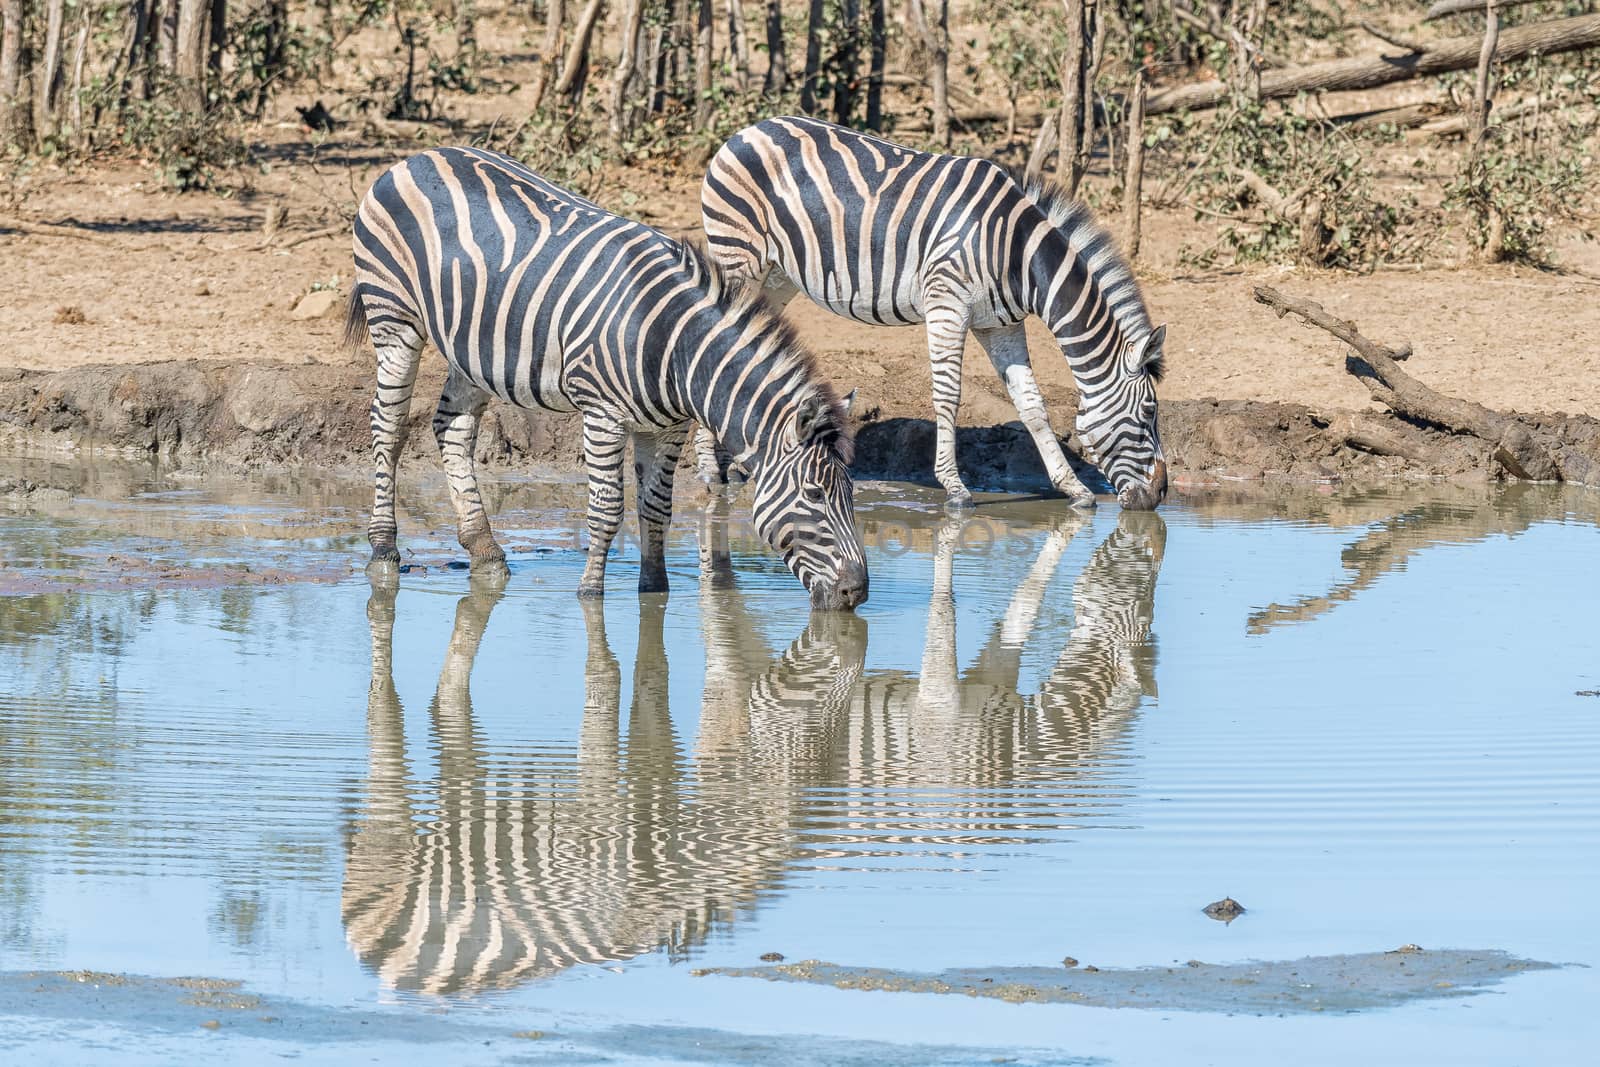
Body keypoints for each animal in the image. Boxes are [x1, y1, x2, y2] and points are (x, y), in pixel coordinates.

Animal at [345, 143, 870, 607]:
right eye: (815, 494)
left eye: (851, 495)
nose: (856, 593)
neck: (676, 346)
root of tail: (416, 158)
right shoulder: (603, 414)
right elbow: (607, 508)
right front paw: (591, 593)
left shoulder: (668, 426)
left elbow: (656, 508)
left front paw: (654, 590)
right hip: (395, 319)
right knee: (388, 429)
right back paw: (384, 549)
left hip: (471, 347)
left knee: (452, 429)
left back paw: (485, 550)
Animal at [697, 115, 1164, 511]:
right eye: (1149, 413)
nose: (1159, 495)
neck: (1018, 256)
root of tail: (748, 129)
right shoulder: (947, 303)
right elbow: (948, 395)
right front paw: (954, 487)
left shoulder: (1001, 325)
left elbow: (1032, 404)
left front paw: (1074, 489)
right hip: (739, 257)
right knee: (716, 332)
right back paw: (709, 472)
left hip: (778, 276)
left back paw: (738, 464)